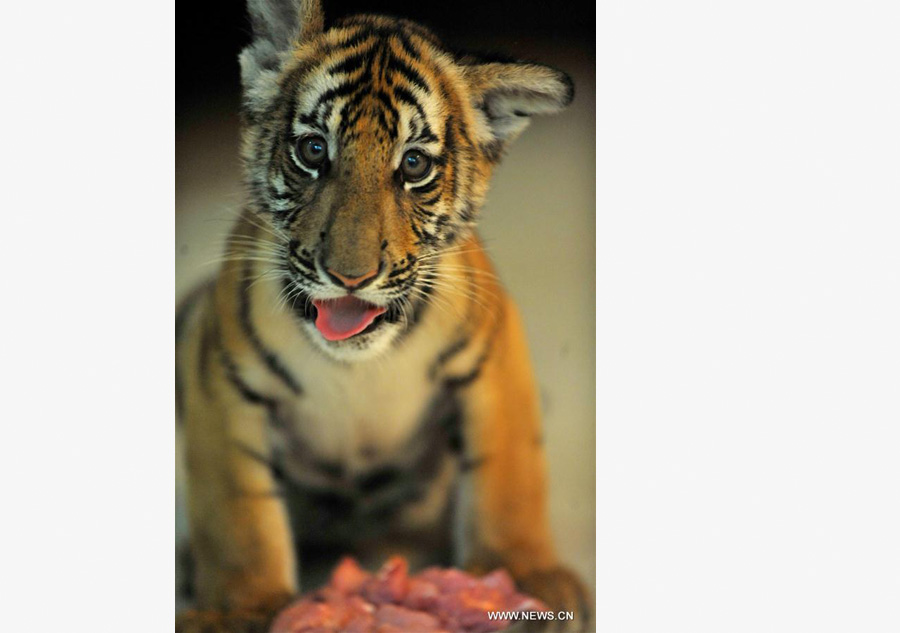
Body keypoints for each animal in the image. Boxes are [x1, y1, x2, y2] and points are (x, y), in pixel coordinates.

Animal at [175, 0, 591, 630]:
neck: (359, 365)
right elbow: (236, 511)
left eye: (413, 165)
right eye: (313, 151)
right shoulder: (219, 375)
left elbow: (508, 473)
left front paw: (523, 576)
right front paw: (241, 608)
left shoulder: (495, 355)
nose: (351, 276)